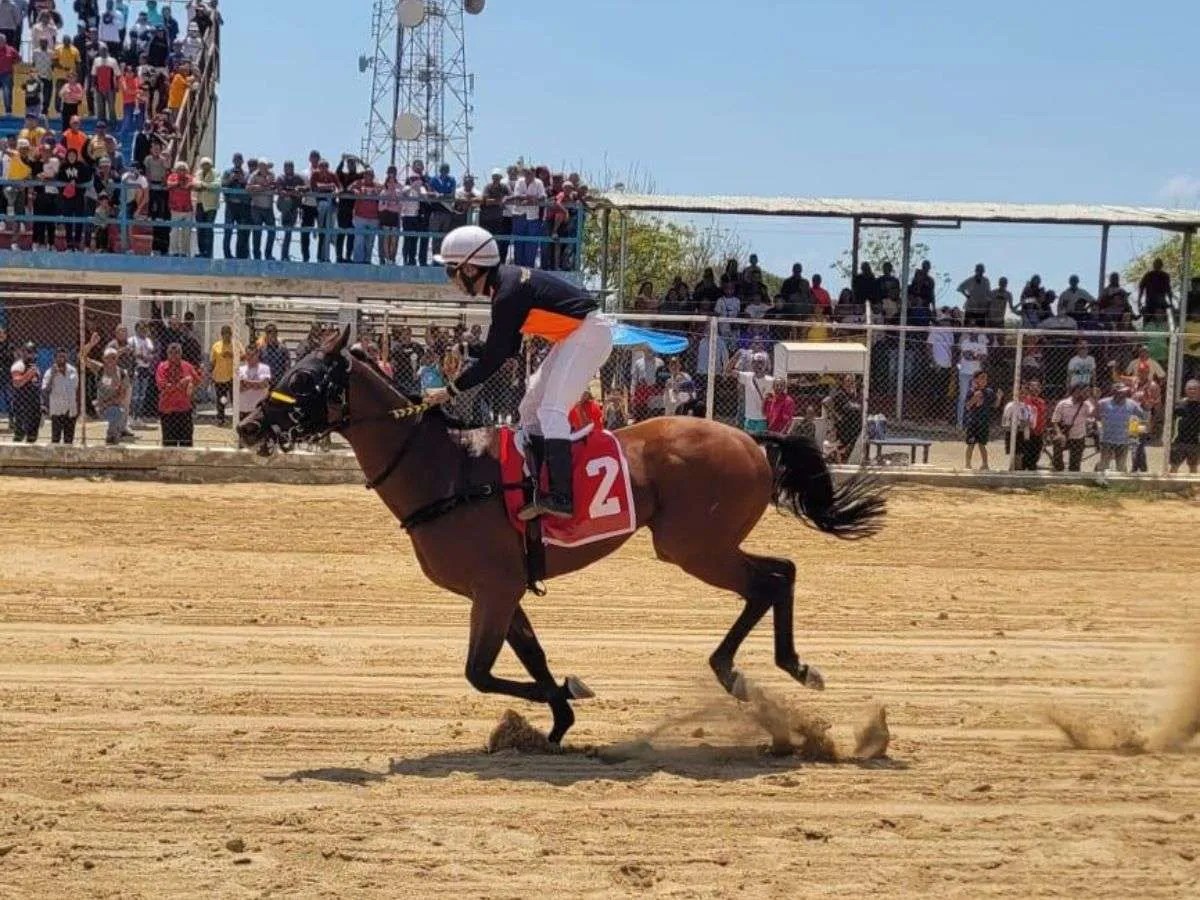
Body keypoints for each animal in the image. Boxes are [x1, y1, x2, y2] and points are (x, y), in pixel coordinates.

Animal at [238, 328, 888, 744]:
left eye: (304, 377)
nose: (247, 425)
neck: (446, 469)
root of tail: (752, 438)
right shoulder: (503, 591)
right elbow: (529, 657)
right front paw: (559, 716)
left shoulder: (493, 590)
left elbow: (479, 673)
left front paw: (569, 695)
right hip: (702, 545)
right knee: (778, 575)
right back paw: (761, 670)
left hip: (693, 547)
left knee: (772, 579)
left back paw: (766, 668)